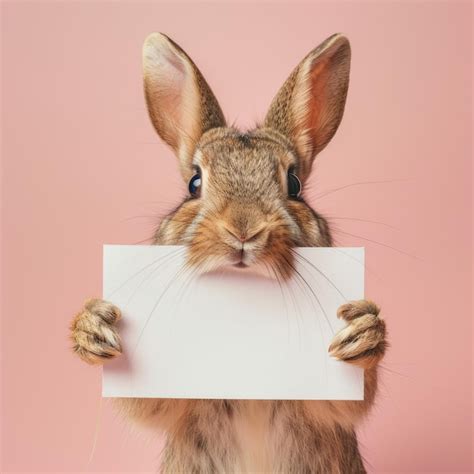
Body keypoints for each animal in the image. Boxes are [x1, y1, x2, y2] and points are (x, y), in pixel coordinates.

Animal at [71, 33, 388, 474]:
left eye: (294, 184)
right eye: (194, 183)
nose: (243, 228)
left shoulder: (328, 407)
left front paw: (362, 332)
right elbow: (146, 403)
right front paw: (93, 328)